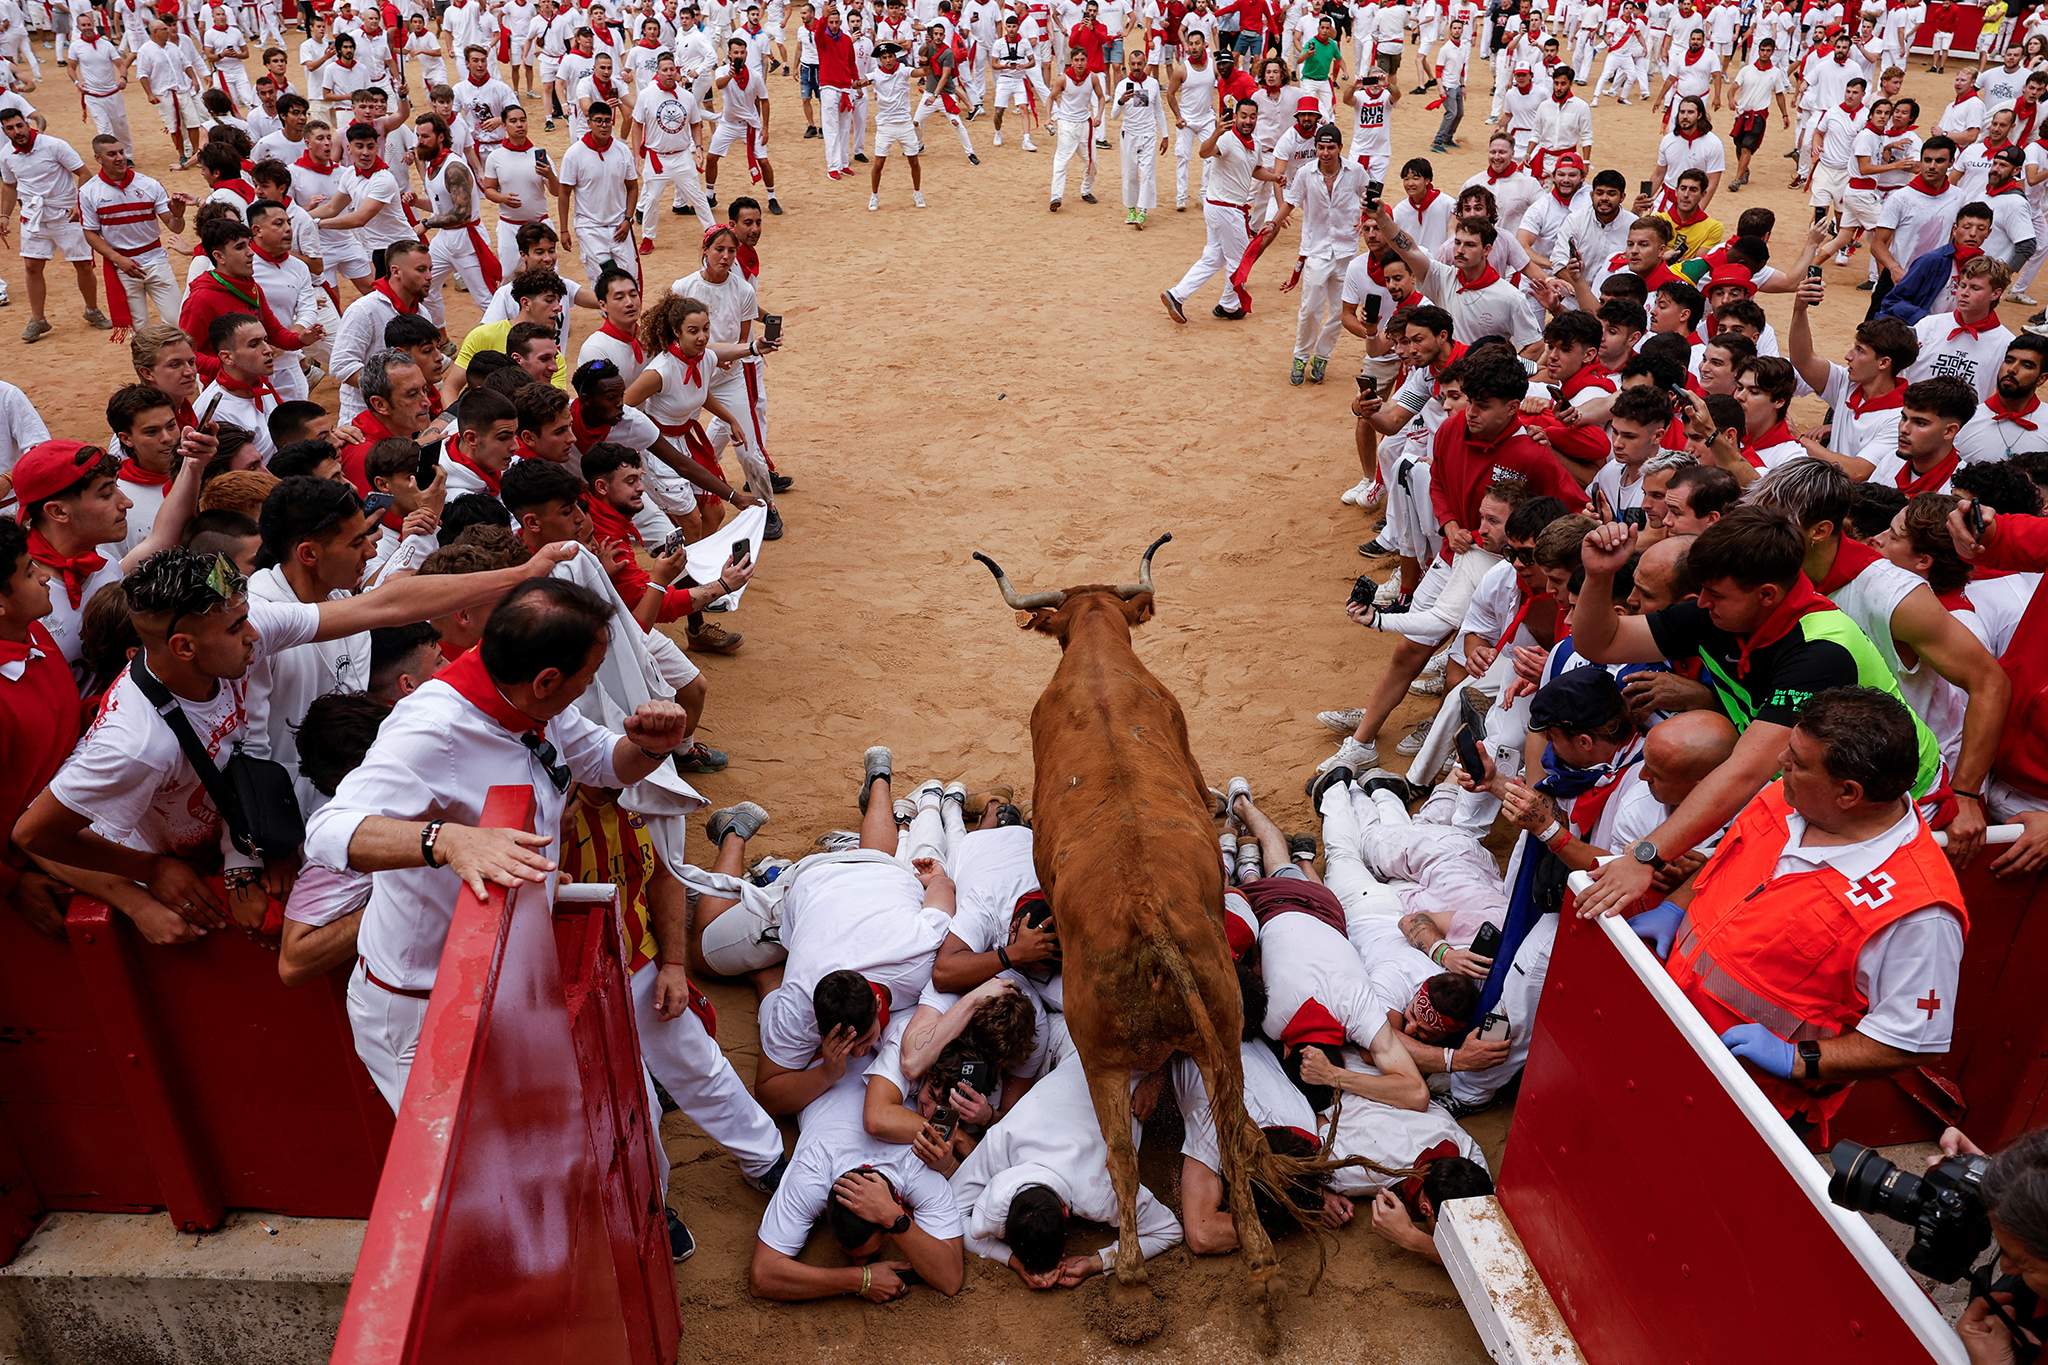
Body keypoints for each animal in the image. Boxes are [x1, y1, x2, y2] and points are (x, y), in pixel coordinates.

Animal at [970, 540, 1277, 1326]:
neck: (1098, 656)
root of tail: (1145, 912)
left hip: (1111, 1054)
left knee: (1133, 1151)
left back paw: (1153, 1281)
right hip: (1208, 1034)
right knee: (1206, 1139)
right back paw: (1247, 1269)